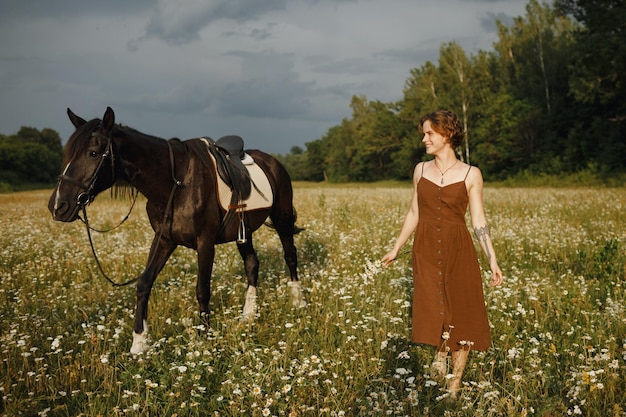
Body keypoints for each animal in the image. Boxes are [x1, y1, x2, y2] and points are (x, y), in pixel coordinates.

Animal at [47, 105, 304, 352]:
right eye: (68, 154)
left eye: (92, 153)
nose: (58, 206)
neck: (176, 183)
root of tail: (273, 162)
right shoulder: (164, 239)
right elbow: (144, 283)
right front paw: (139, 343)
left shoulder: (205, 242)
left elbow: (202, 289)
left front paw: (204, 338)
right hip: (244, 231)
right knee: (252, 264)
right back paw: (248, 315)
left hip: (281, 218)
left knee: (290, 256)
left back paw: (297, 302)